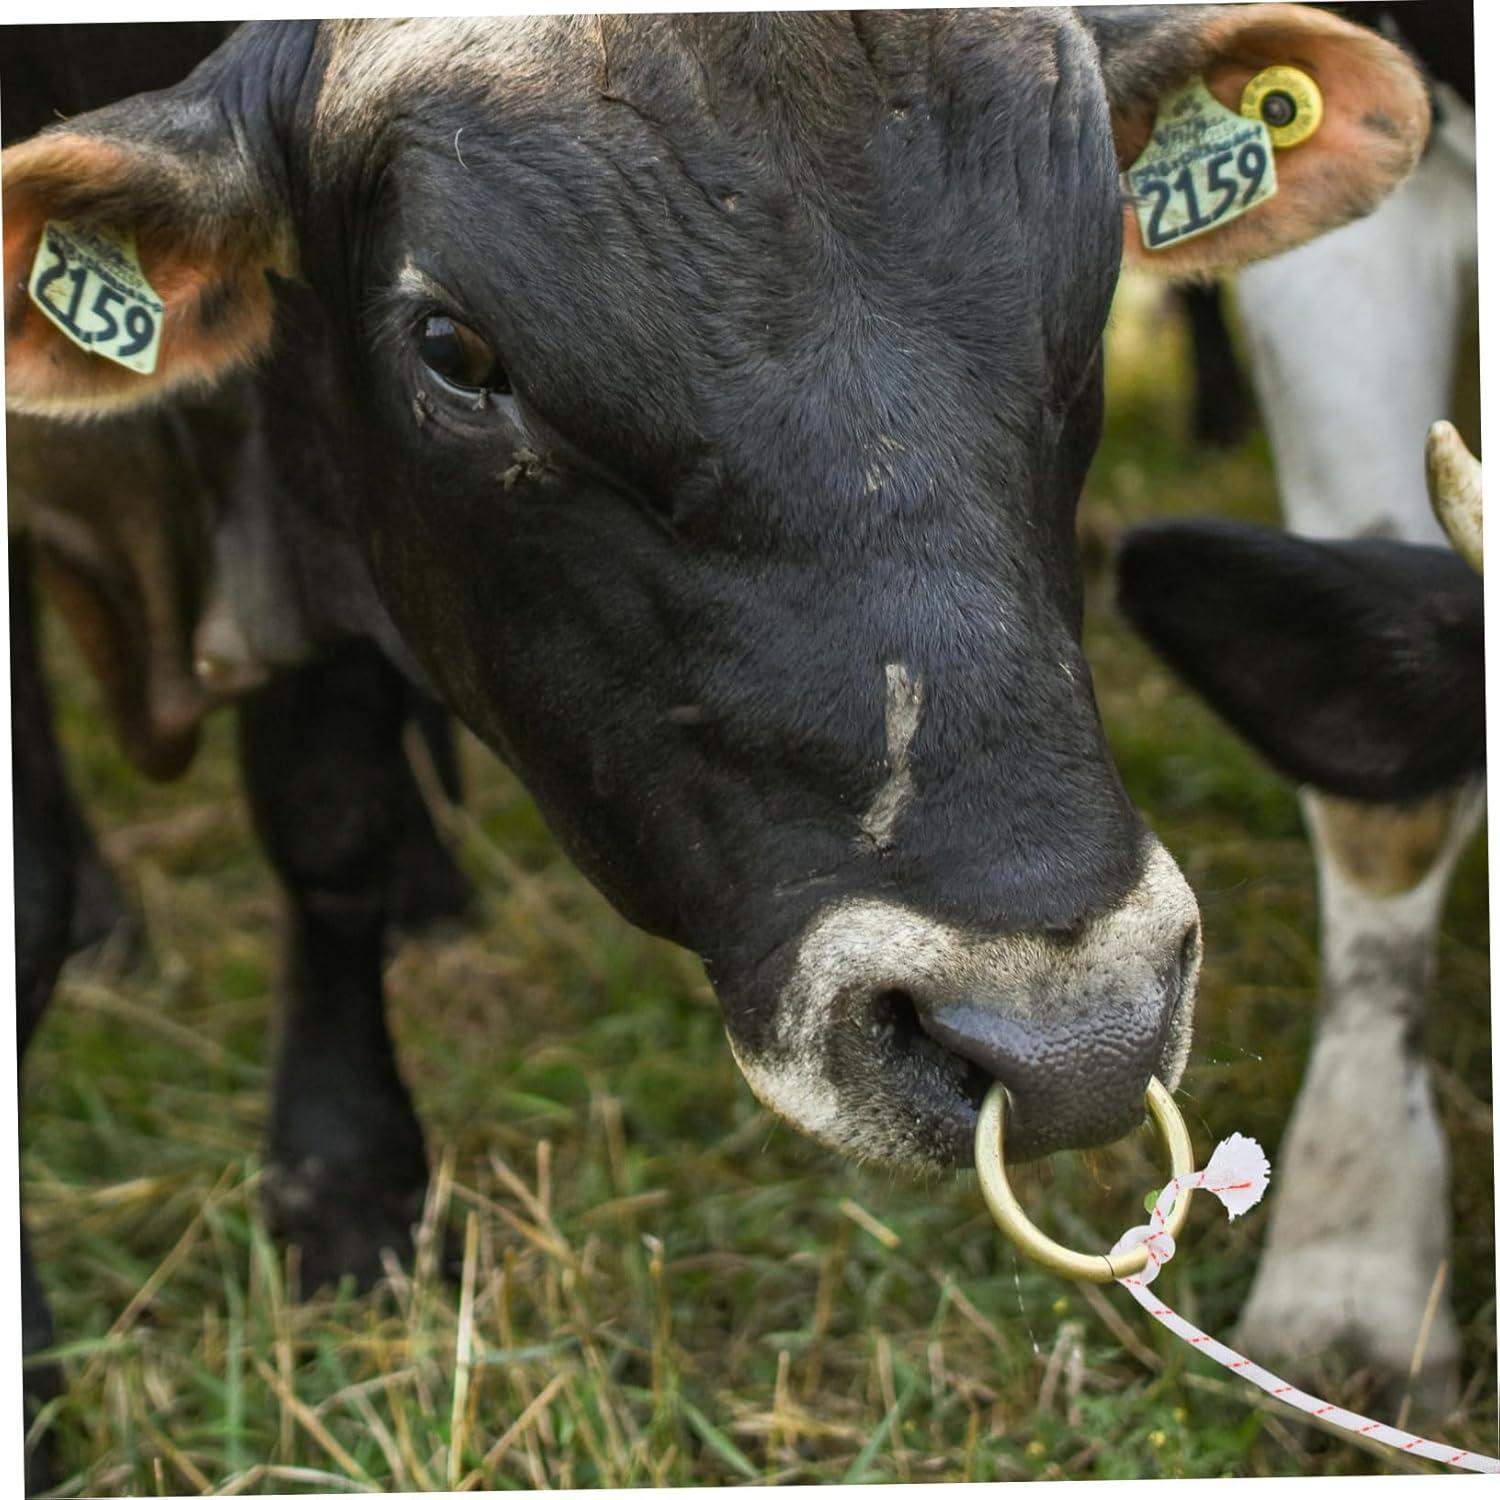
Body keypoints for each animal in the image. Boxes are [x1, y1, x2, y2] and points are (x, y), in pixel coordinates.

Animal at [3, 7, 1434, 1482]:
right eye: (454, 349)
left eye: (1089, 284)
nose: (1072, 1044)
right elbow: (33, 893)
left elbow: (328, 816)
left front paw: (351, 1190)